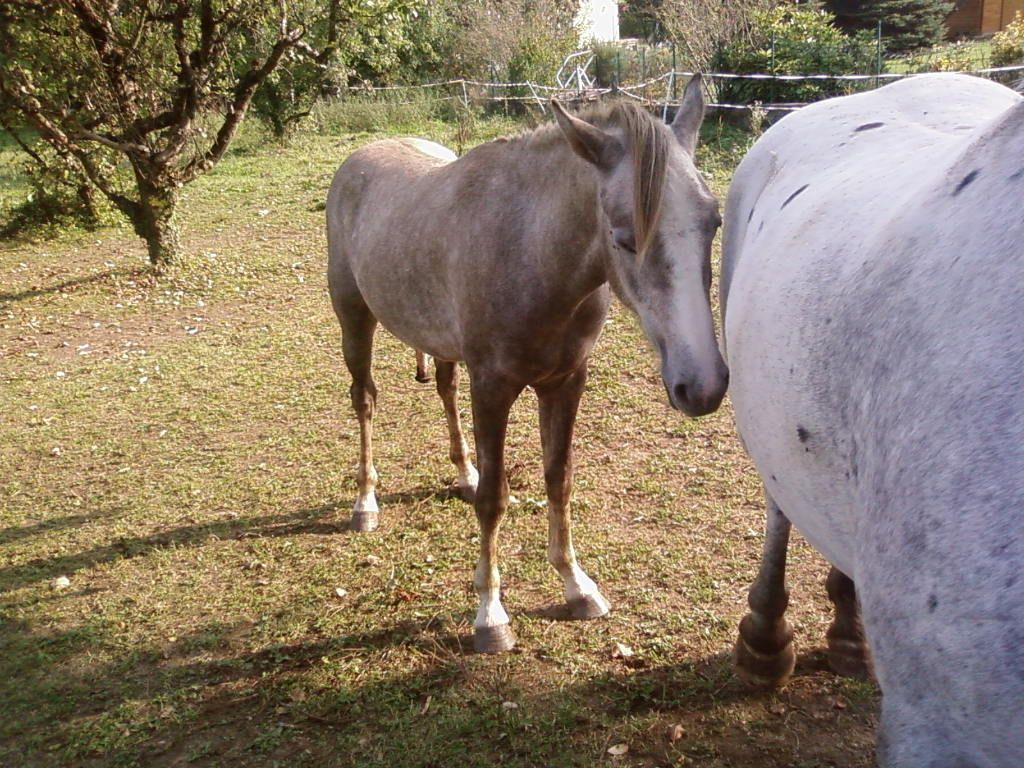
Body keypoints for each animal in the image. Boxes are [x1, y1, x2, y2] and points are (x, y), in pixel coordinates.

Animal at [327, 76, 728, 653]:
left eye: (714, 221)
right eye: (624, 237)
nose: (703, 386)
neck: (532, 252)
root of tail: (360, 157)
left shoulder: (565, 382)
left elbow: (558, 480)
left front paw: (578, 586)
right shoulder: (493, 387)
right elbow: (494, 500)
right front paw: (490, 615)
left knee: (445, 388)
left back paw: (463, 471)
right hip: (354, 319)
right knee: (365, 401)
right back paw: (365, 503)